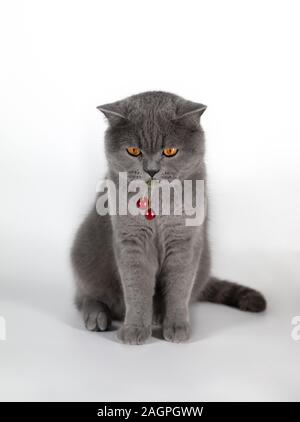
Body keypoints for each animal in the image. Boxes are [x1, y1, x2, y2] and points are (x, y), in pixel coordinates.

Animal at [71, 91, 268, 342]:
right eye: (133, 151)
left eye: (170, 151)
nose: (151, 170)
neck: (157, 207)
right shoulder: (131, 241)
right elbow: (137, 286)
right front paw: (135, 329)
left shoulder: (185, 241)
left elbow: (179, 286)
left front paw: (176, 327)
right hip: (85, 254)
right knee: (86, 296)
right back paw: (97, 318)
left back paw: (156, 316)